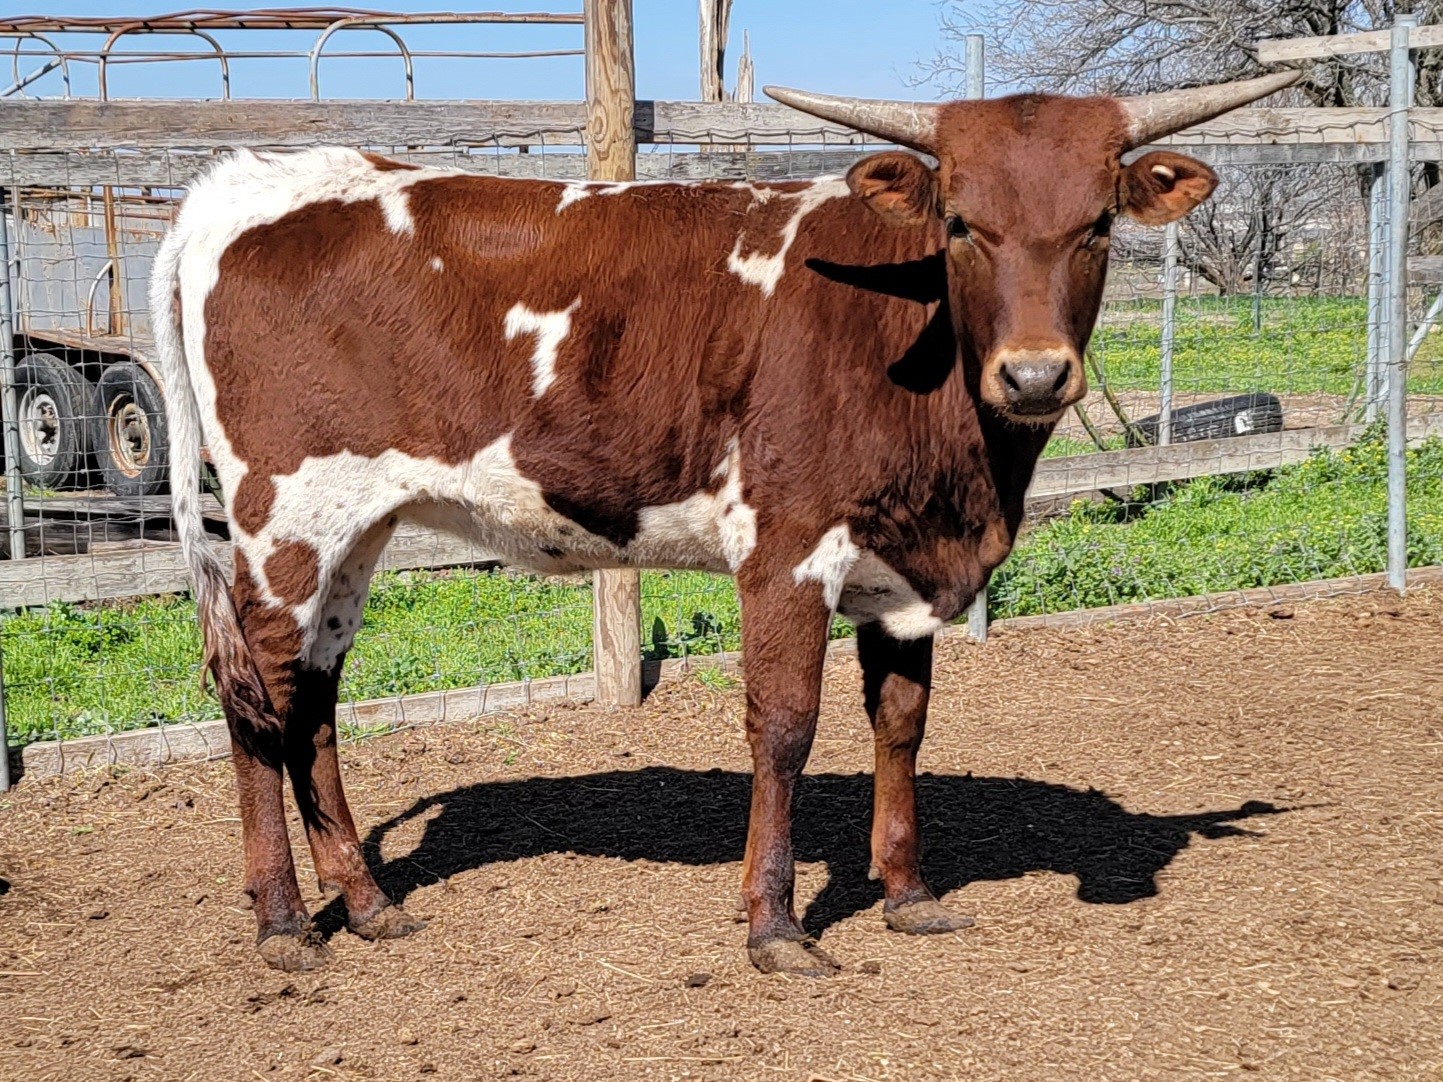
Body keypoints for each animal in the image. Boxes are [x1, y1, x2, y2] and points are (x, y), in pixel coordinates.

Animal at [152, 71, 1297, 976]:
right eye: (962, 224)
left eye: (1099, 223)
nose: (1032, 375)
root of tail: (244, 181)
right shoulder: (788, 548)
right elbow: (785, 726)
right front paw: (775, 925)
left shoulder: (902, 570)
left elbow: (901, 721)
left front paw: (907, 893)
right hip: (285, 518)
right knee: (256, 695)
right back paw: (285, 921)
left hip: (357, 530)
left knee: (313, 698)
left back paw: (370, 903)